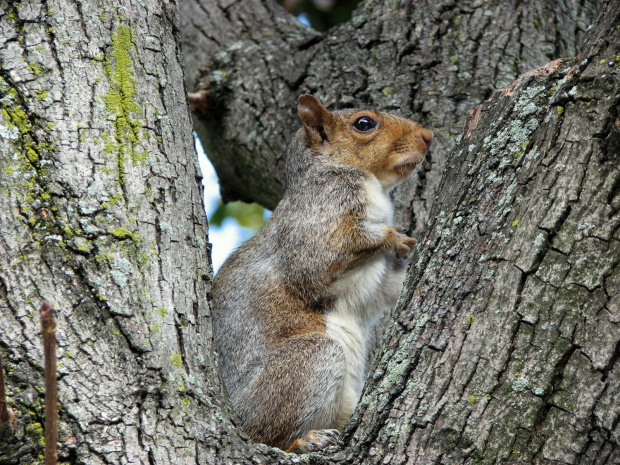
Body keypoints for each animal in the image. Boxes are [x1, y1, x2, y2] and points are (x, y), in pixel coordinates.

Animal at [212, 94, 432, 454]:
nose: (427, 136)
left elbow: (390, 289)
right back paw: (305, 440)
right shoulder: (317, 218)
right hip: (307, 362)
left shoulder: (377, 282)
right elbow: (320, 260)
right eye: (364, 123)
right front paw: (393, 236)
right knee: (267, 436)